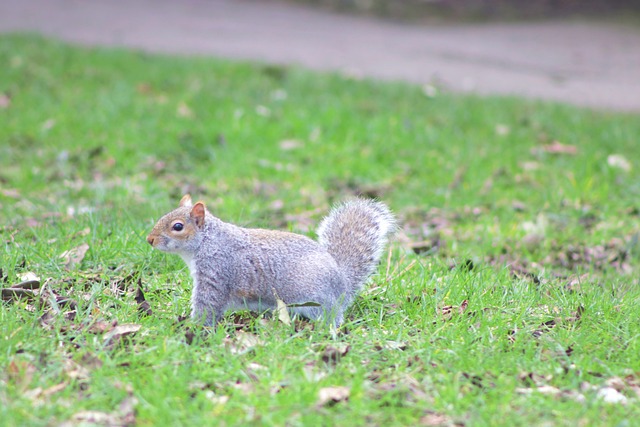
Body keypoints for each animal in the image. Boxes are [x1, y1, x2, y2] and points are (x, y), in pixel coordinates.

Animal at [148, 195, 398, 328]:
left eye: (178, 226)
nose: (150, 239)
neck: (207, 241)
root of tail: (343, 284)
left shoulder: (217, 271)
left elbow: (208, 304)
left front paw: (194, 327)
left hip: (316, 299)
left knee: (332, 317)